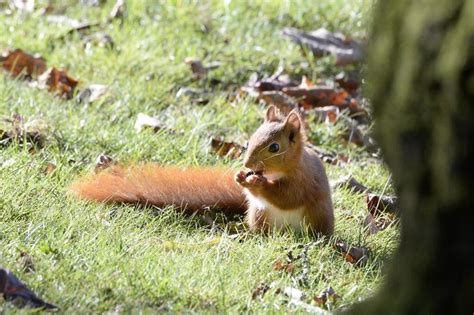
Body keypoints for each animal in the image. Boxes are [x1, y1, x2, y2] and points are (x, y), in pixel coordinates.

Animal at [72, 106, 336, 235]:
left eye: (275, 147)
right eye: (251, 138)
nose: (248, 165)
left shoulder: (303, 181)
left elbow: (287, 196)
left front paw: (256, 183)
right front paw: (240, 177)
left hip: (316, 217)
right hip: (259, 215)